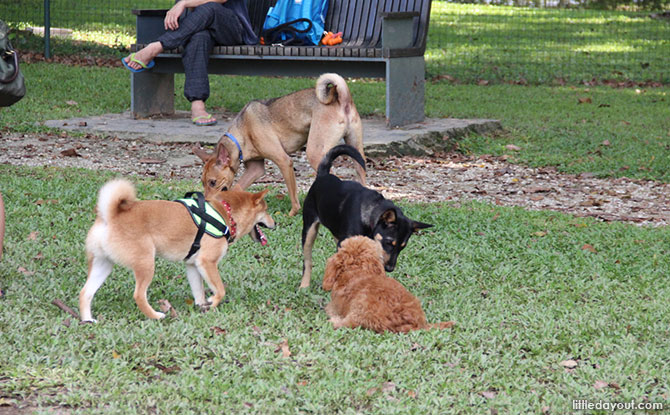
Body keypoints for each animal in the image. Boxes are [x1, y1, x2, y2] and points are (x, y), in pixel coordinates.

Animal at [79, 179, 276, 322]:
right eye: (266, 210)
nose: (275, 223)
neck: (226, 213)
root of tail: (109, 216)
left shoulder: (193, 265)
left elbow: (198, 292)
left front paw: (202, 306)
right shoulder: (207, 262)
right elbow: (220, 290)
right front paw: (212, 302)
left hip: (103, 265)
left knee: (85, 293)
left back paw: (88, 320)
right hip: (146, 263)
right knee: (139, 295)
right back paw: (156, 315)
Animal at [194, 73, 368, 218]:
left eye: (212, 182)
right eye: (202, 182)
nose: (206, 203)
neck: (241, 133)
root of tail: (340, 96)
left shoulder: (284, 161)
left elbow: (293, 196)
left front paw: (291, 213)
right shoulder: (255, 169)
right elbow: (237, 187)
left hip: (316, 154)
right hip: (356, 152)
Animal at [300, 145, 436, 290]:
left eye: (402, 247)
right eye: (389, 242)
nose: (390, 269)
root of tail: (323, 175)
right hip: (309, 230)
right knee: (307, 262)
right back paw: (304, 285)